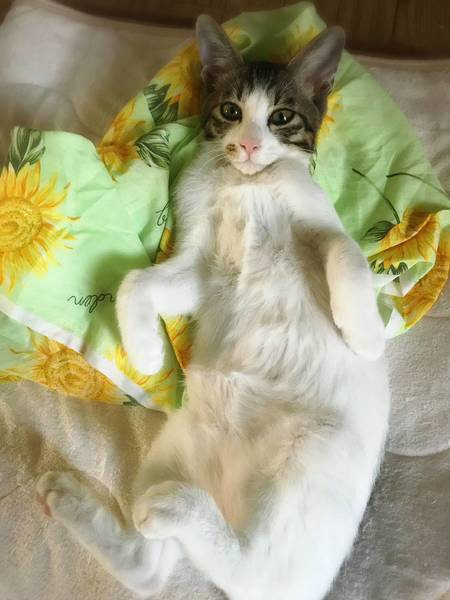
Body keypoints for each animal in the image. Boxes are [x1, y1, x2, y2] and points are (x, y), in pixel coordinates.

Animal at [36, 15, 390, 600]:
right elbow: (135, 281)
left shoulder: (320, 224)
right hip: (174, 448)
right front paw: (147, 350)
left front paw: (364, 334)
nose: (246, 145)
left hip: (311, 451)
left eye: (281, 117)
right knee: (151, 565)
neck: (242, 183)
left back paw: (172, 509)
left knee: (248, 564)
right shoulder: (200, 265)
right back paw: (82, 499)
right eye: (230, 111)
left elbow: (346, 252)